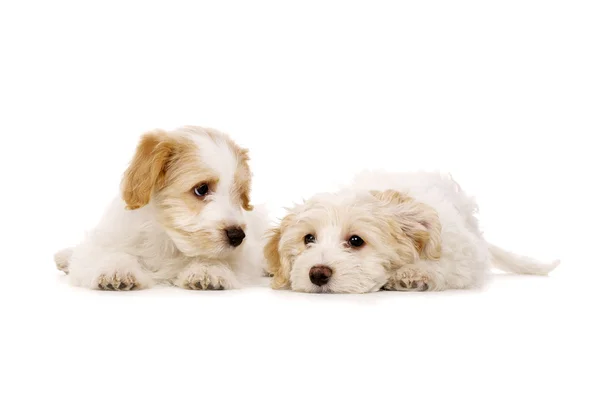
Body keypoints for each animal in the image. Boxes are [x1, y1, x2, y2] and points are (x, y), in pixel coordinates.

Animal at [56, 126, 268, 292]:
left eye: (239, 193)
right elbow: (111, 253)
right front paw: (116, 270)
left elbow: (217, 257)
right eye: (201, 189)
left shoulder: (243, 256)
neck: (166, 238)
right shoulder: (104, 242)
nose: (237, 236)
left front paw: (208, 269)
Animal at [264, 171, 560, 294]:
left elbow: (446, 268)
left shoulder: (464, 258)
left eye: (356, 241)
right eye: (308, 238)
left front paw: (412, 275)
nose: (317, 274)